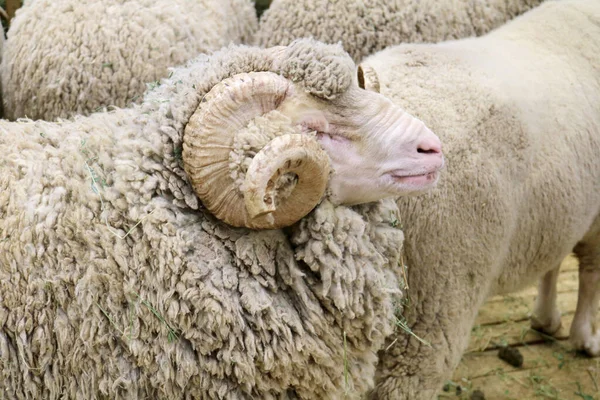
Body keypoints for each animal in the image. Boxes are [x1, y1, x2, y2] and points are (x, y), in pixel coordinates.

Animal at [352, 1, 600, 398]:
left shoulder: (560, 204)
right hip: (437, 292)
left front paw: (546, 318)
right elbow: (590, 272)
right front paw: (586, 337)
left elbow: (553, 262)